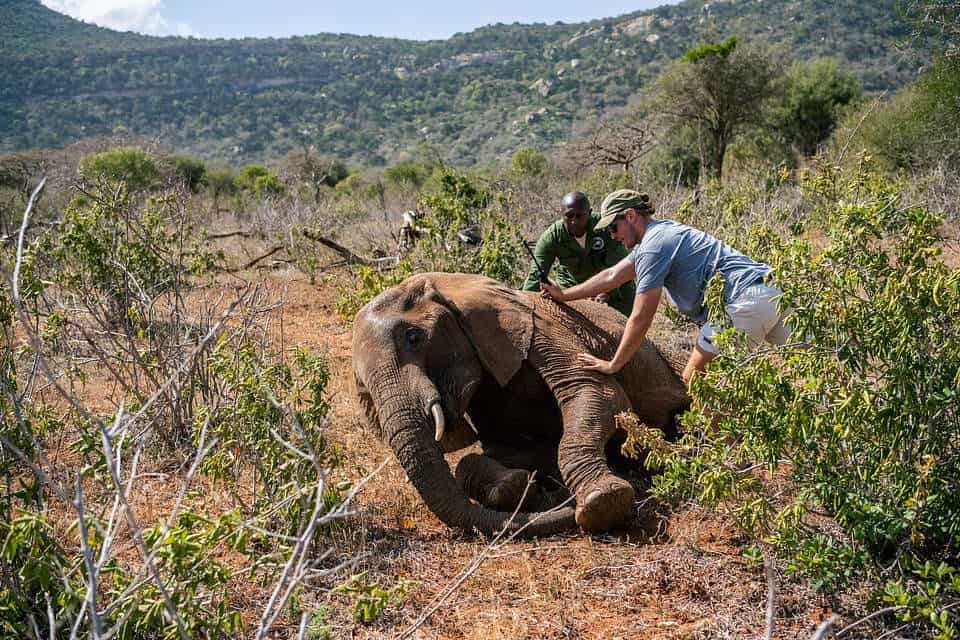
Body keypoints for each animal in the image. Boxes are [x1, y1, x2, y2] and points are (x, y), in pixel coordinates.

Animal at [352, 270, 688, 536]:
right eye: (361, 385)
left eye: (413, 337)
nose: (565, 503)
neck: (449, 284)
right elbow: (495, 452)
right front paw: (515, 486)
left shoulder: (540, 330)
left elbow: (596, 393)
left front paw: (602, 503)